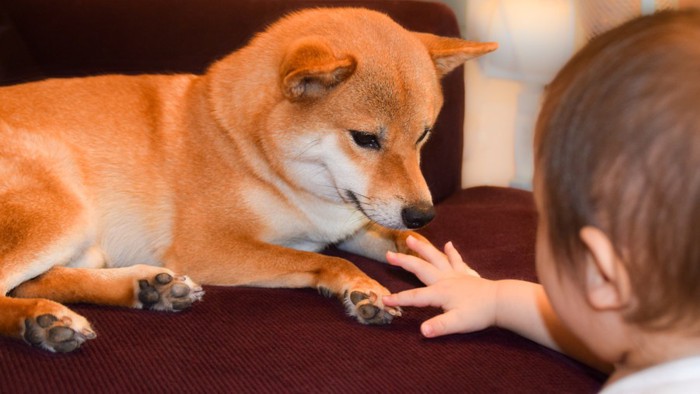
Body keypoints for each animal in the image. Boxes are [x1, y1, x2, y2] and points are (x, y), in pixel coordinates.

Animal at [0, 6, 494, 350]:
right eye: (365, 138)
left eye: (423, 135)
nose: (423, 213)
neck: (251, 152)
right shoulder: (208, 248)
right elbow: (325, 260)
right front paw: (360, 285)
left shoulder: (353, 223)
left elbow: (409, 245)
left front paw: (457, 276)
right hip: (64, 214)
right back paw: (41, 321)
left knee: (36, 280)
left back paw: (148, 289)